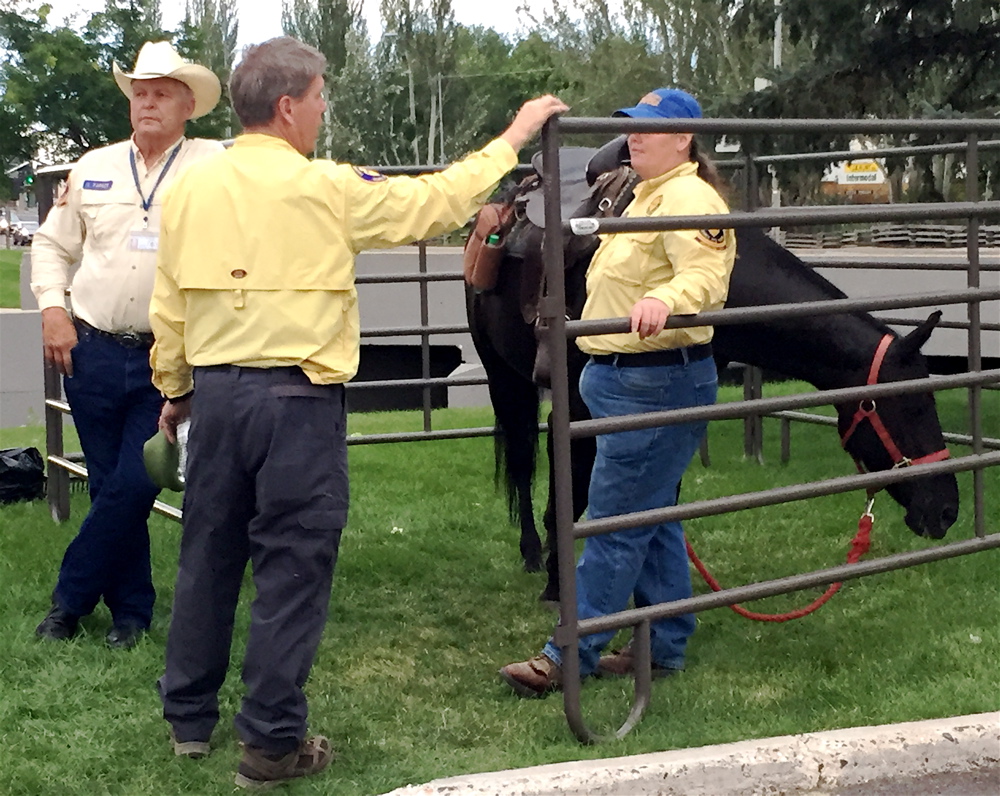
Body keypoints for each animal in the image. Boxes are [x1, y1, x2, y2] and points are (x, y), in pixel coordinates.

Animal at [468, 148, 960, 604]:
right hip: (504, 379)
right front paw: (558, 587)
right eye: (912, 407)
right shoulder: (576, 405)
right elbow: (569, 491)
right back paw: (533, 554)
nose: (947, 511)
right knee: (522, 459)